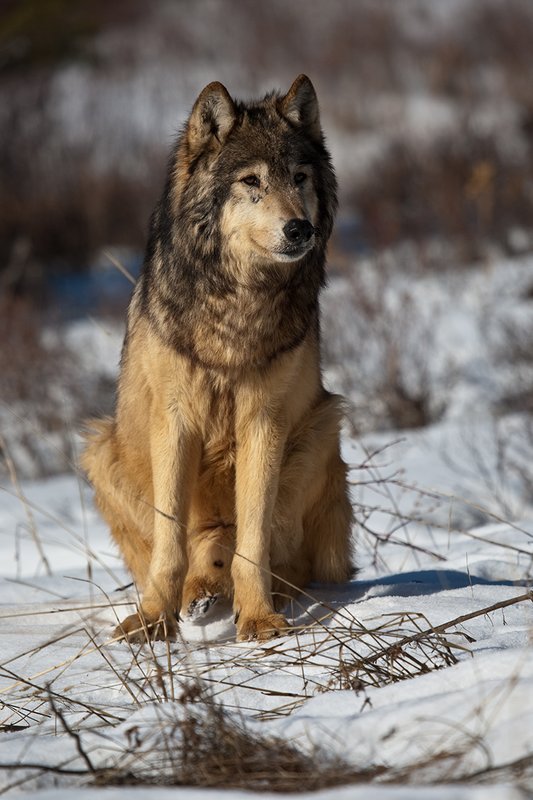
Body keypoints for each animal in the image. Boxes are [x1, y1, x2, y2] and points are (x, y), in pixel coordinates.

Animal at [81, 74, 353, 642]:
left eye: (299, 177)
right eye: (252, 181)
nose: (299, 229)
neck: (238, 306)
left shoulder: (264, 421)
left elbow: (253, 544)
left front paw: (259, 620)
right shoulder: (174, 421)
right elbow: (169, 544)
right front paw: (152, 622)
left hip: (322, 425)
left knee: (280, 560)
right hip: (100, 448)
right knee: (194, 548)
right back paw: (197, 594)